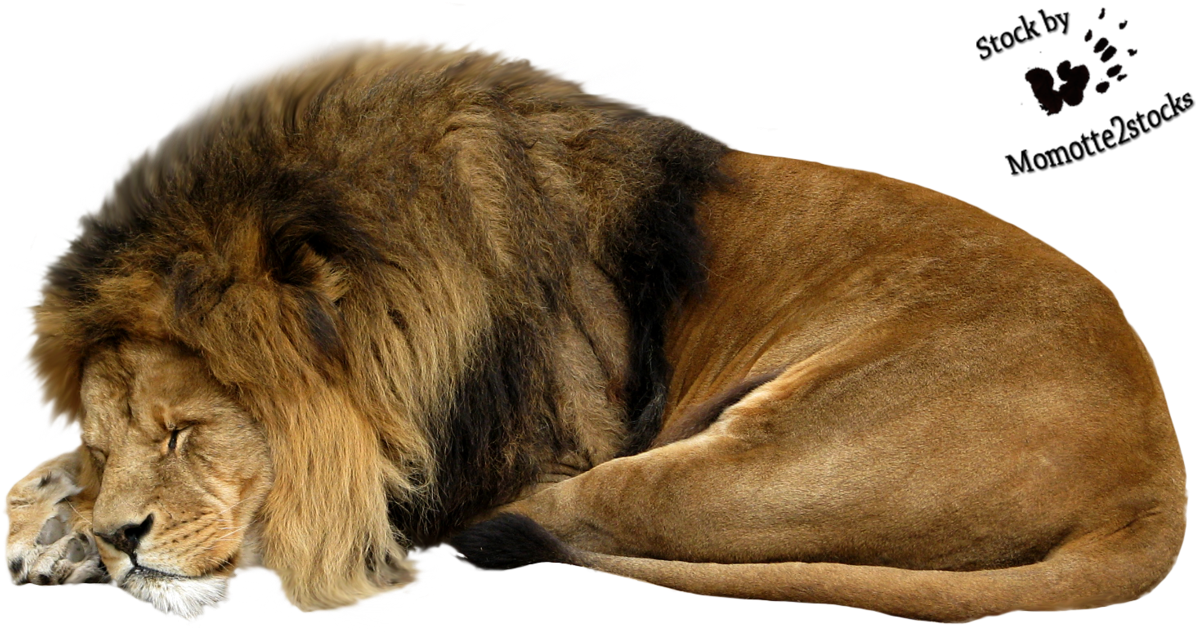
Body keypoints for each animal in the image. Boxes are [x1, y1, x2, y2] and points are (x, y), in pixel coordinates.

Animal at [3, 34, 1185, 625]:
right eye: (104, 442)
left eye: (187, 431)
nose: (121, 537)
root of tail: (1158, 470)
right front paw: (52, 526)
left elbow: (321, 512)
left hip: (774, 450)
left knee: (594, 514)